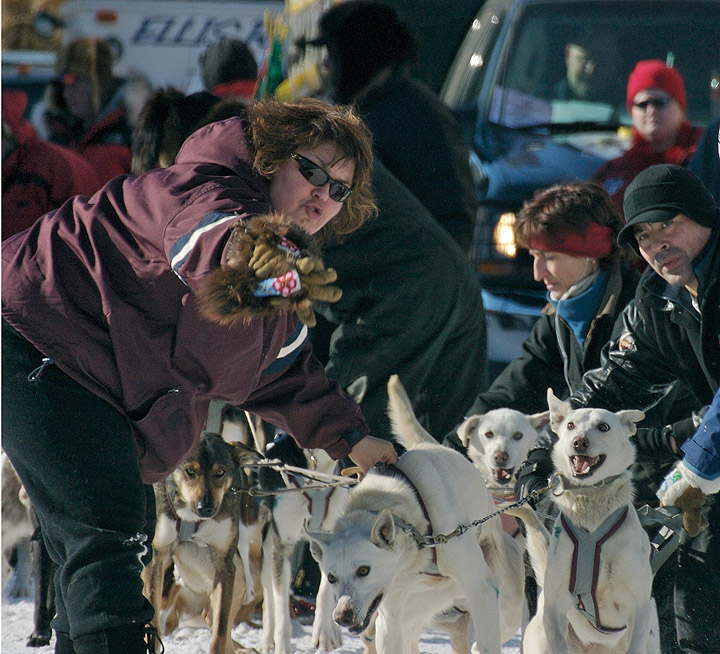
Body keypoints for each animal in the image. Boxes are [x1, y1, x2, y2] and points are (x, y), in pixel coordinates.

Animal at [304, 374, 524, 654]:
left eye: (363, 570)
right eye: (331, 576)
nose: (342, 616)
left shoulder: (482, 589)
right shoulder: (390, 616)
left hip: (506, 608)